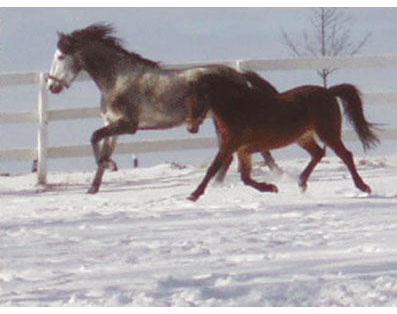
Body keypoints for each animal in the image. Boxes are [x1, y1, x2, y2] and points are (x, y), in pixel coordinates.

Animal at [187, 72, 378, 201]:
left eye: (200, 97)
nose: (191, 128)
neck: (238, 107)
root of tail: (329, 92)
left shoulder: (230, 146)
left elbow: (213, 169)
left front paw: (194, 195)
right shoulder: (242, 150)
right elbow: (245, 178)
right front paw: (271, 188)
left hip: (328, 133)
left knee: (345, 155)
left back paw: (364, 187)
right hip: (303, 137)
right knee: (318, 153)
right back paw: (301, 183)